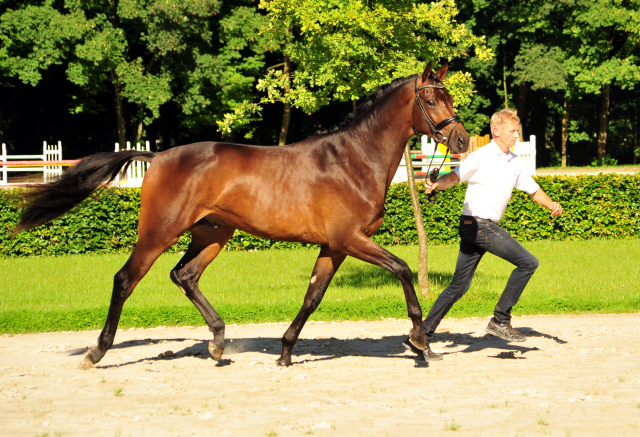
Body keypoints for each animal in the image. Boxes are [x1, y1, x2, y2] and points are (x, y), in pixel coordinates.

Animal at [15, 62, 470, 368]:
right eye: (431, 99)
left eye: (451, 97)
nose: (462, 139)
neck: (352, 160)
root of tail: (157, 156)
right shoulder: (350, 239)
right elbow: (403, 270)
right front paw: (420, 342)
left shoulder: (334, 246)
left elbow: (312, 296)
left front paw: (285, 352)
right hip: (160, 232)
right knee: (126, 279)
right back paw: (96, 351)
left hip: (212, 234)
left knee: (184, 275)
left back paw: (218, 342)